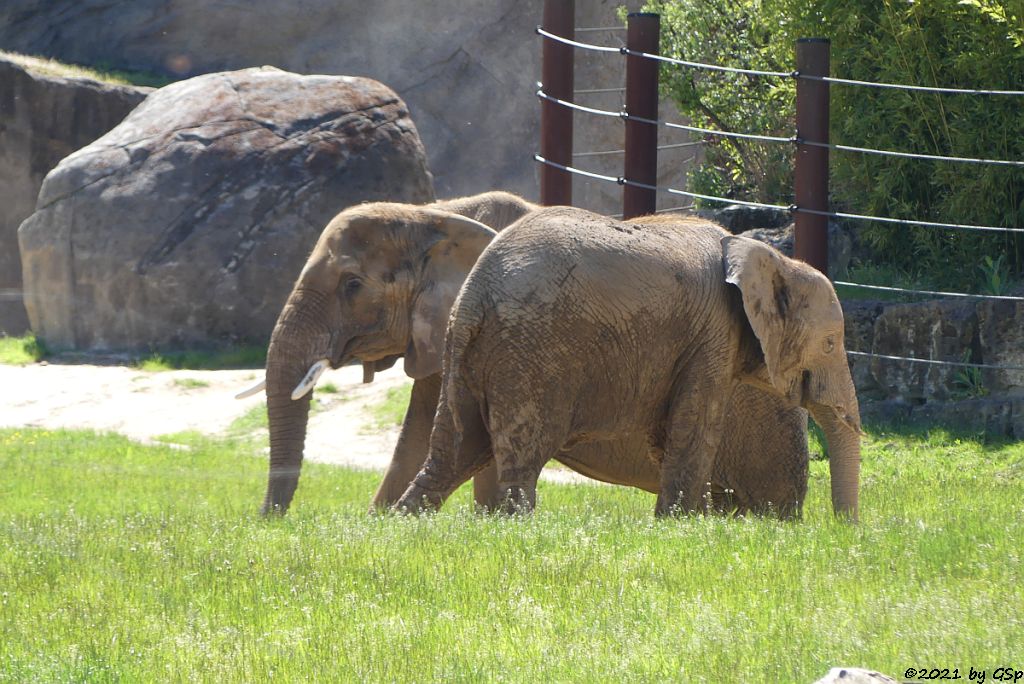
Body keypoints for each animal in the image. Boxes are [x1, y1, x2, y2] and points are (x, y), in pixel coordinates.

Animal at [395, 206, 860, 518]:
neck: (767, 254)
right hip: (530, 355)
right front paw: (683, 526)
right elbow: (695, 428)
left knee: (451, 451)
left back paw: (406, 523)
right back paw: (515, 526)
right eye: (830, 344)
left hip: (468, 355)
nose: (843, 529)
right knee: (520, 458)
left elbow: (671, 433)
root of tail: (477, 291)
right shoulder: (714, 334)